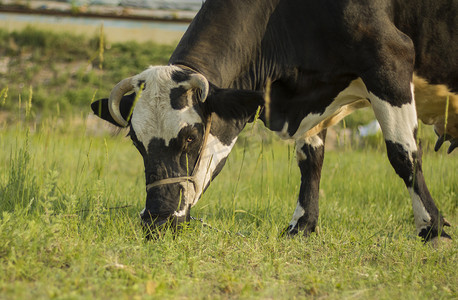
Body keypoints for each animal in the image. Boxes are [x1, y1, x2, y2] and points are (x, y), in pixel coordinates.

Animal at [90, 0, 454, 243]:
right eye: (136, 142)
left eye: (191, 136)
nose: (157, 220)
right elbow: (310, 161)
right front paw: (302, 227)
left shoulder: (389, 56)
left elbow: (403, 153)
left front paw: (432, 228)